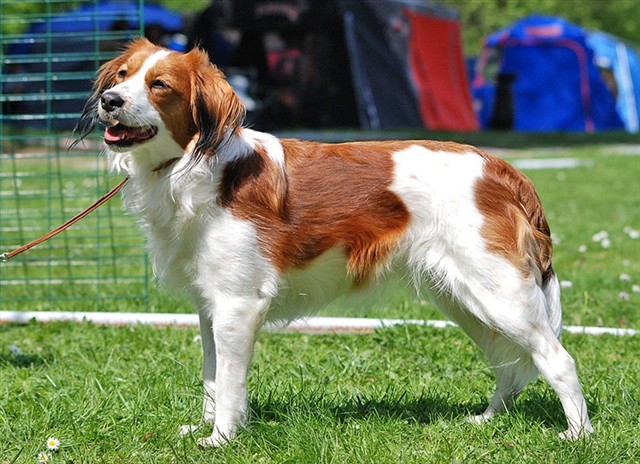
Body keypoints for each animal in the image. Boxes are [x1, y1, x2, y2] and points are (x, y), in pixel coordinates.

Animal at [76, 39, 596, 446]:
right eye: (122, 75)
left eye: (159, 84)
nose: (109, 100)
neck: (193, 167)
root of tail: (500, 166)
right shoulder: (210, 306)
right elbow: (211, 377)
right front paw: (204, 429)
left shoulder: (239, 304)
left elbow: (228, 383)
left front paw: (221, 439)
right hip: (462, 296)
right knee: (509, 365)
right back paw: (486, 420)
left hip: (497, 293)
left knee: (556, 358)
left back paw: (578, 434)